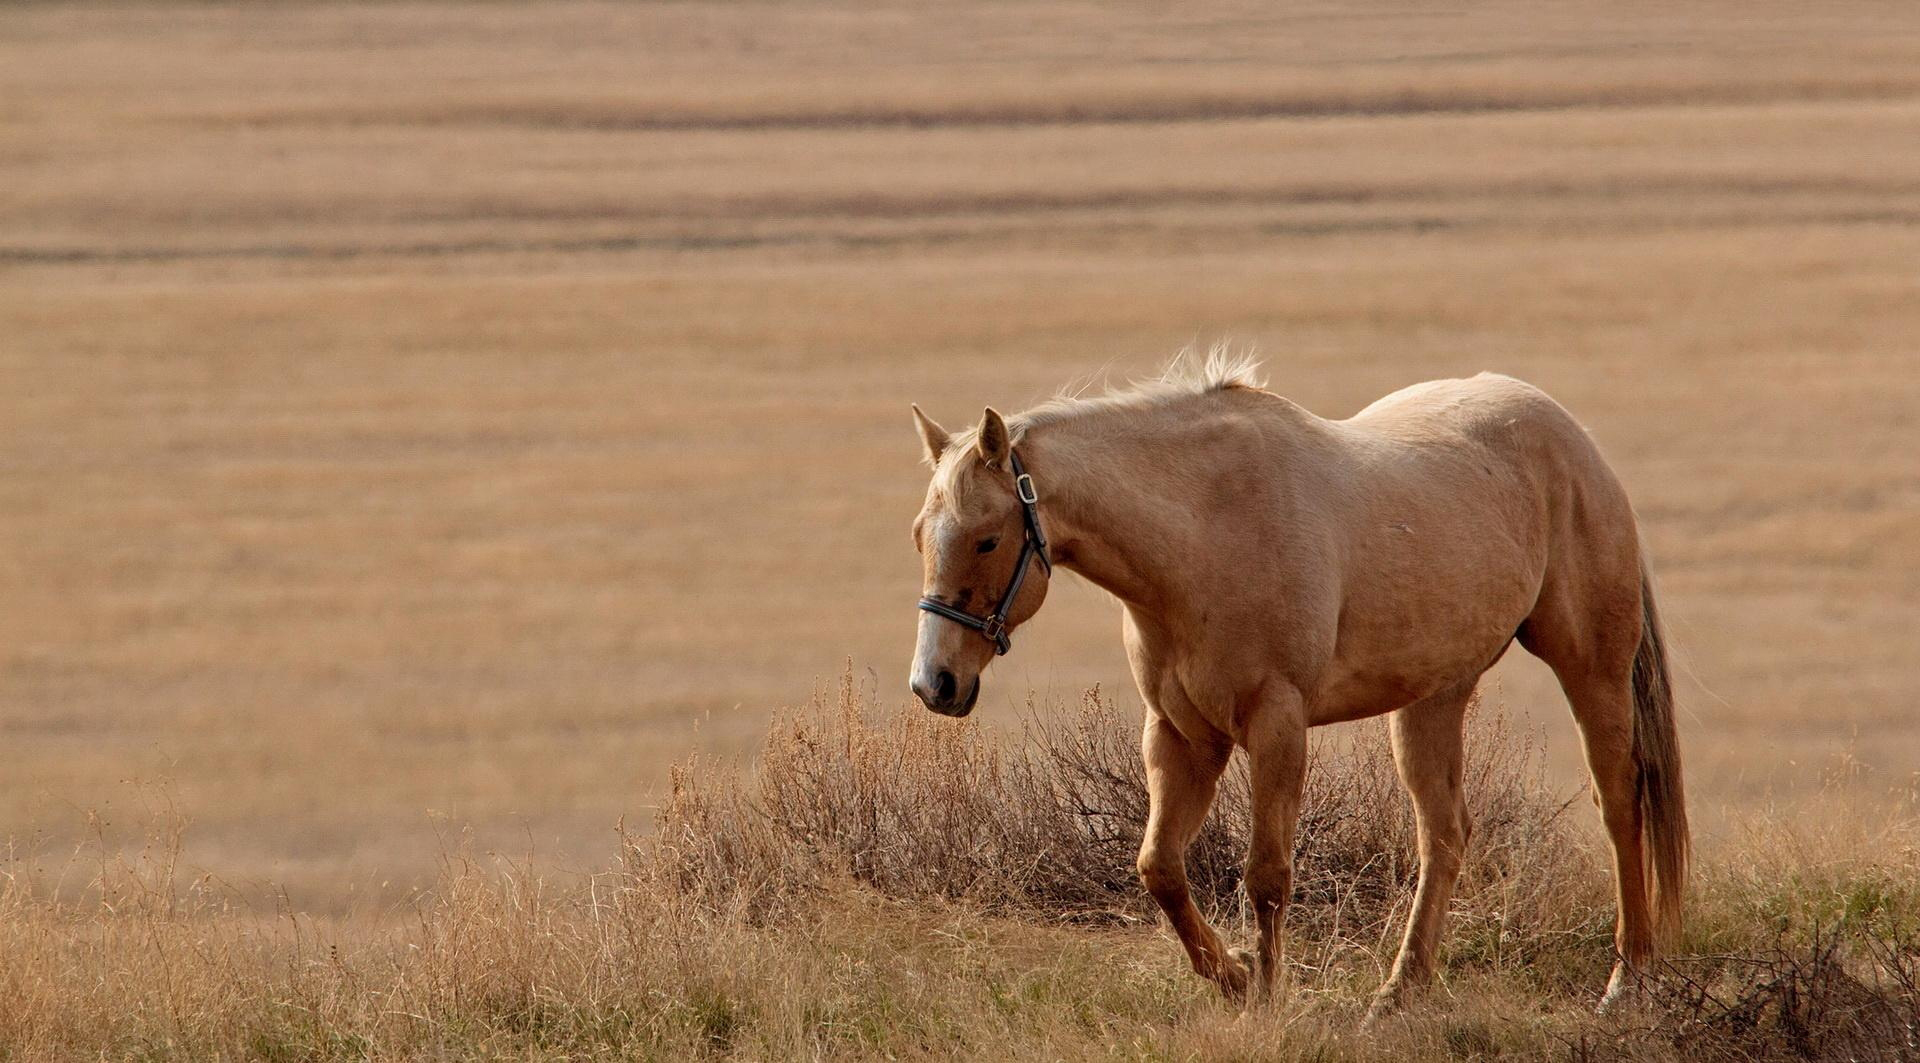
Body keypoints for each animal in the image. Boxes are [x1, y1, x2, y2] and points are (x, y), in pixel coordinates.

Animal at [906, 353, 1687, 1017]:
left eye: (986, 537)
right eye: (920, 533)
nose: (935, 683)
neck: (1208, 531)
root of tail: (1572, 438)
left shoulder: (1276, 726)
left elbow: (1267, 875)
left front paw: (1266, 994)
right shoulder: (1182, 736)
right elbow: (1160, 867)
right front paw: (1232, 975)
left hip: (1591, 670)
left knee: (1620, 805)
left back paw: (1627, 979)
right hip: (1432, 697)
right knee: (1444, 833)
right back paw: (1400, 990)